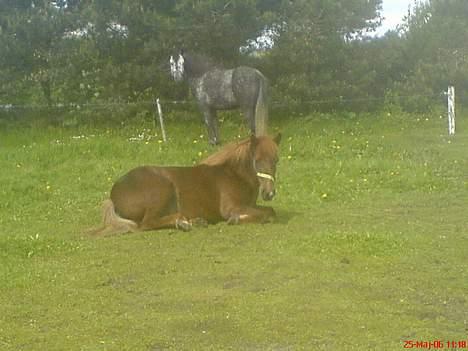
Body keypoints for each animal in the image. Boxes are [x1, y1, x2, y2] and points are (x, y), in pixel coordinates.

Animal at [91, 135, 282, 236]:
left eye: (276, 160)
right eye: (257, 161)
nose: (269, 193)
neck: (234, 174)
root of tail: (113, 195)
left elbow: (270, 211)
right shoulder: (232, 207)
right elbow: (266, 214)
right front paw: (235, 219)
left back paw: (195, 221)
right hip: (163, 190)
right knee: (146, 223)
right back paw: (183, 223)